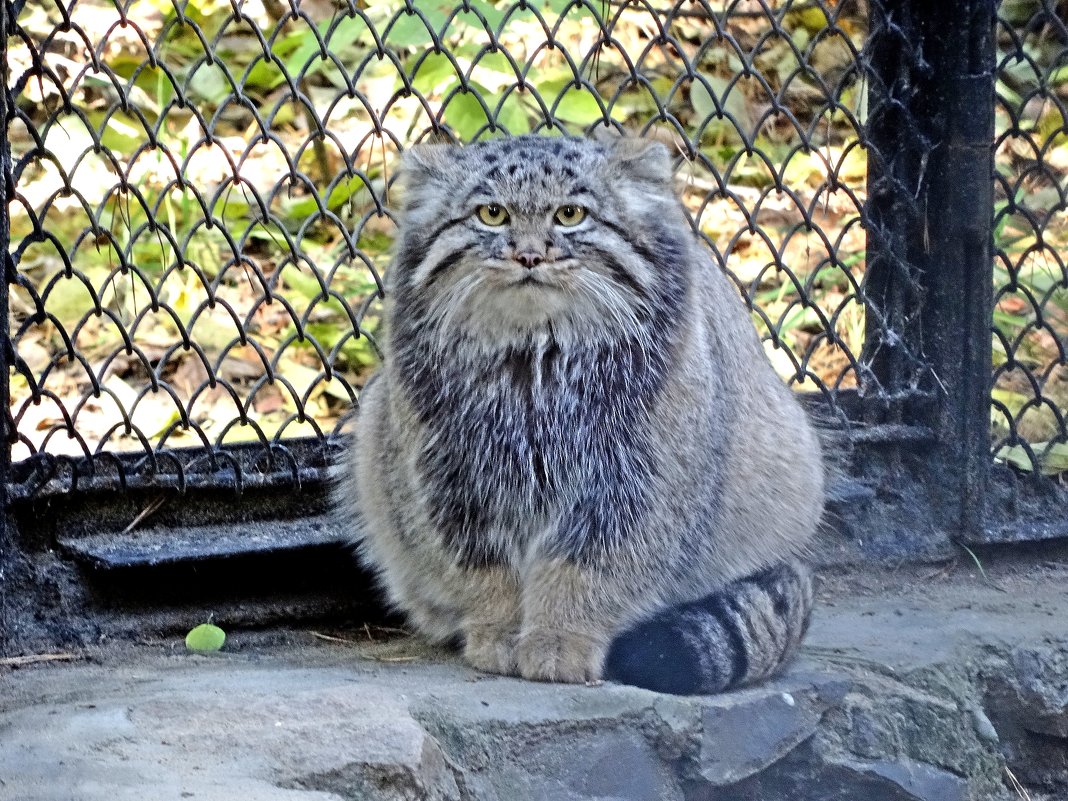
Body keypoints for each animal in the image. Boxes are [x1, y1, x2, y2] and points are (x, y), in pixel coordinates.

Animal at [337, 135, 820, 692]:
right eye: (491, 214)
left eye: (570, 214)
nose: (529, 255)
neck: (533, 364)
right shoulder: (451, 482)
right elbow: (485, 570)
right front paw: (498, 632)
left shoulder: (629, 487)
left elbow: (586, 569)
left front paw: (561, 639)